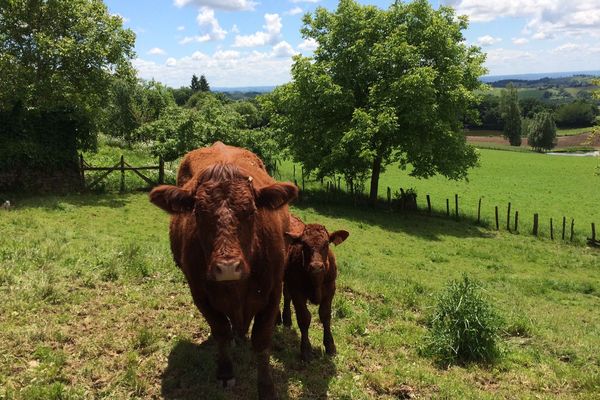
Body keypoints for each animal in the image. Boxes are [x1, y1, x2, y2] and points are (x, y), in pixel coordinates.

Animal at [149, 143, 298, 400]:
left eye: (251, 211)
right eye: (198, 213)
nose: (228, 267)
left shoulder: (273, 292)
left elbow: (261, 340)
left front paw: (266, 387)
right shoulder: (200, 294)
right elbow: (221, 331)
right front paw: (226, 372)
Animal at [282, 216, 350, 362]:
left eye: (326, 244)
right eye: (304, 245)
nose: (316, 267)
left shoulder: (330, 288)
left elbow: (325, 315)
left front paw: (330, 346)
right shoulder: (297, 291)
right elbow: (304, 318)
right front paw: (306, 350)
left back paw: (287, 320)